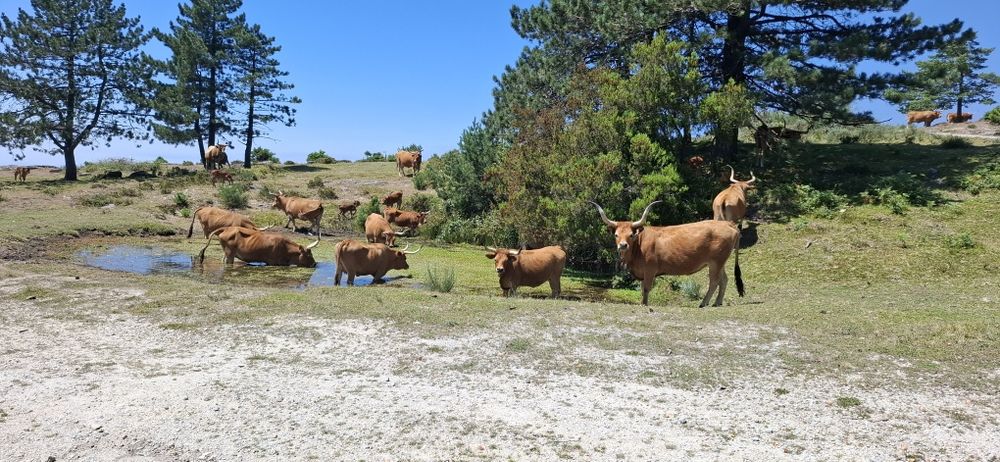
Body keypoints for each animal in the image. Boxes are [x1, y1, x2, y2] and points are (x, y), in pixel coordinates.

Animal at [590, 200, 743, 307]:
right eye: (616, 235)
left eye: (631, 235)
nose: (623, 245)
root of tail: (728, 224)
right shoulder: (642, 273)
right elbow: (642, 289)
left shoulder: (650, 270)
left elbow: (646, 289)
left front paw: (644, 304)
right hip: (719, 262)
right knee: (724, 280)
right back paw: (717, 303)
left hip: (716, 262)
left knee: (714, 282)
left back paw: (703, 303)